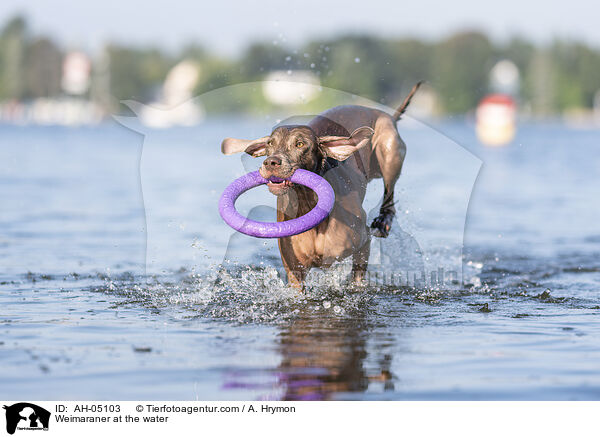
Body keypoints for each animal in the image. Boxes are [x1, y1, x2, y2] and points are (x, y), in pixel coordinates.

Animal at [221, 82, 422, 290]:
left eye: (300, 144)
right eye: (270, 143)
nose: (270, 162)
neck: (307, 202)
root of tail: (384, 113)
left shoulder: (363, 241)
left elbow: (358, 277)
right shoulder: (295, 272)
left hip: (390, 150)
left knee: (389, 194)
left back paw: (383, 221)